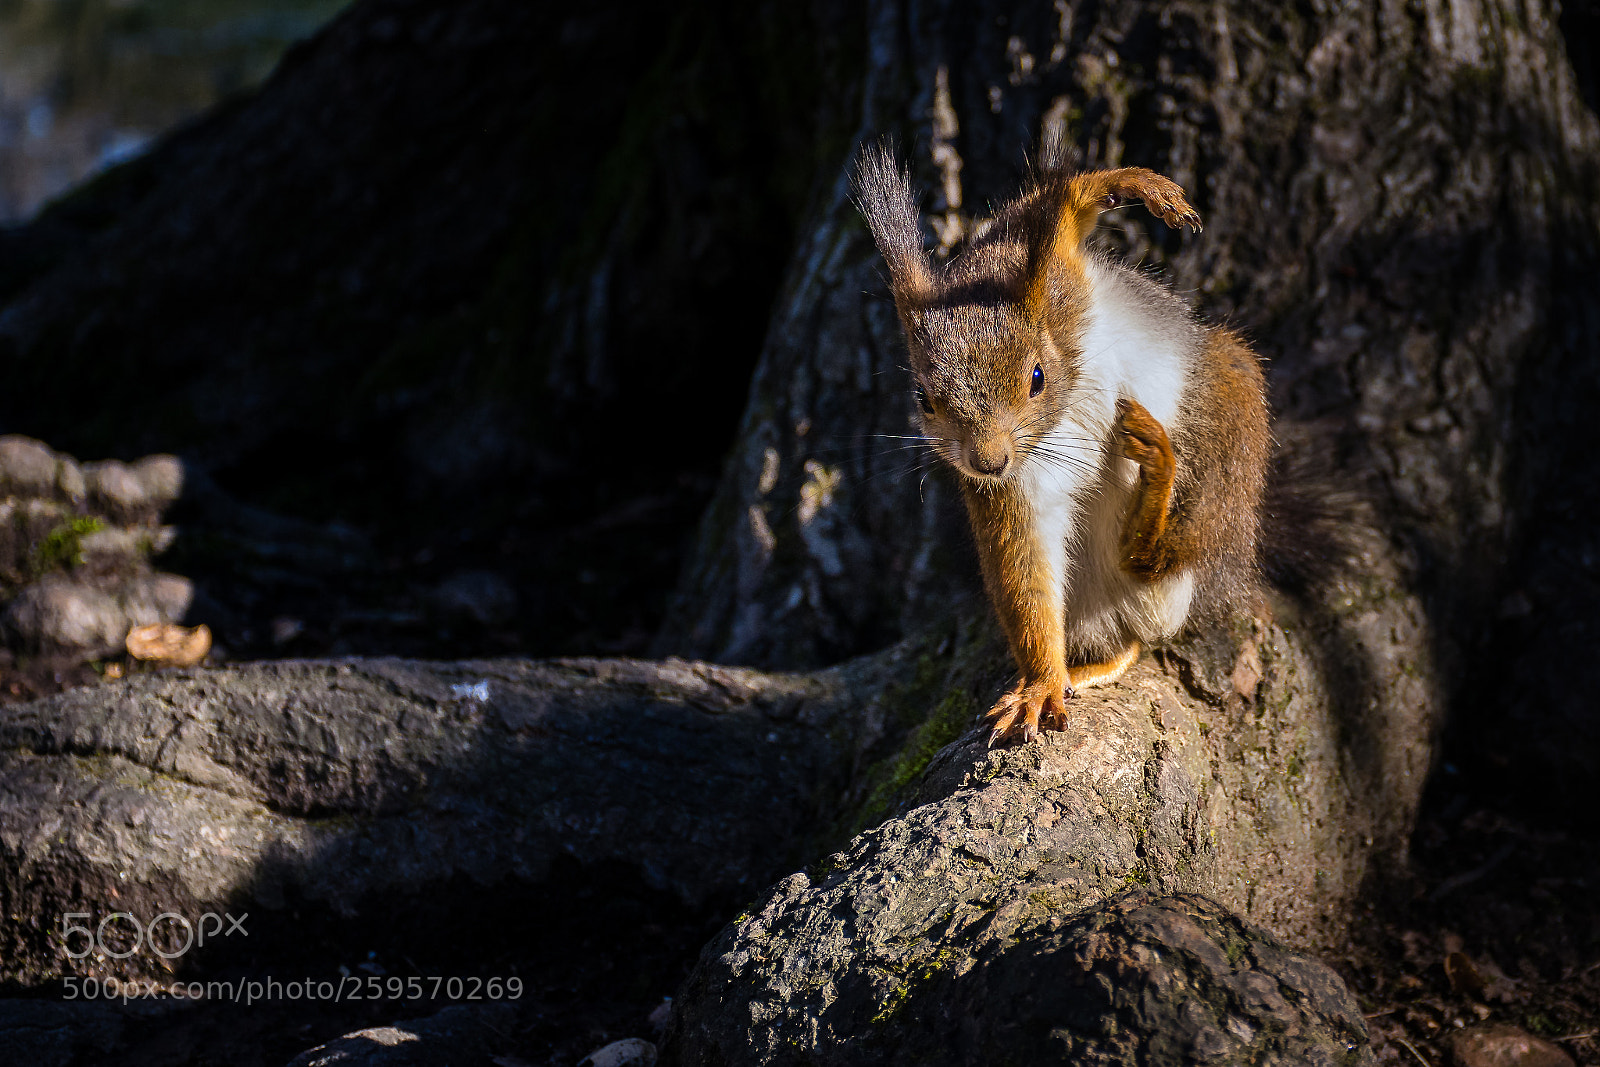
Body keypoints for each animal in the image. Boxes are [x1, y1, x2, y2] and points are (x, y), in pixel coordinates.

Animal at [854, 145, 1270, 746]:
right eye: (923, 399)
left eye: (1036, 377)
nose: (988, 462)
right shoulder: (1016, 488)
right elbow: (1024, 568)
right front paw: (1041, 685)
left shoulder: (1056, 272)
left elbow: (1064, 211)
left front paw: (1135, 186)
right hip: (1099, 606)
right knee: (1130, 636)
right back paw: (1087, 664)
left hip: (1227, 418)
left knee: (1167, 552)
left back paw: (1157, 483)